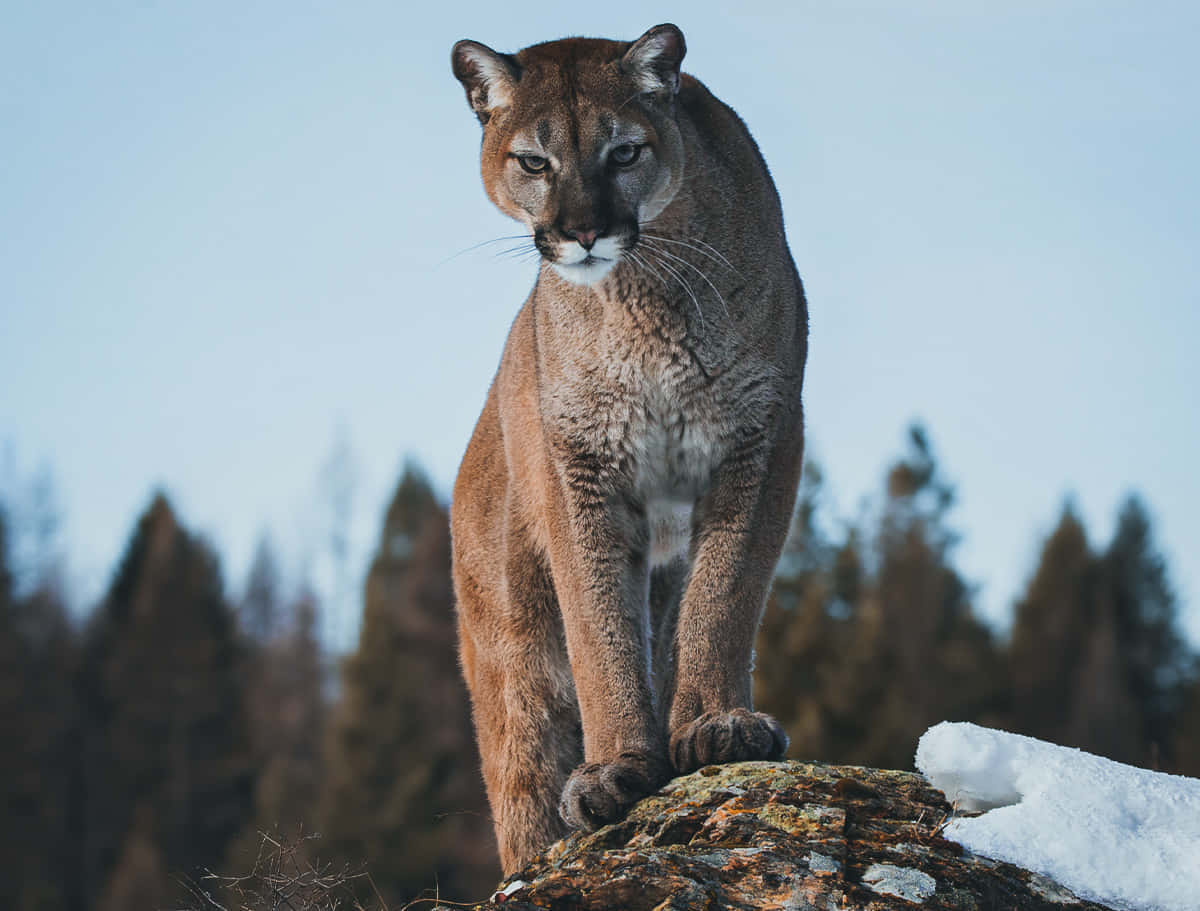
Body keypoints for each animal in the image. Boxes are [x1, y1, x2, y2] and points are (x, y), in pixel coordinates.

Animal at [453, 24, 811, 873]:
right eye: (534, 161)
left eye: (623, 152)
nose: (583, 229)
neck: (641, 301)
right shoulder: (580, 472)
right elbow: (598, 625)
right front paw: (617, 765)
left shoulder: (760, 440)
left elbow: (725, 595)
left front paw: (717, 723)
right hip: (513, 661)